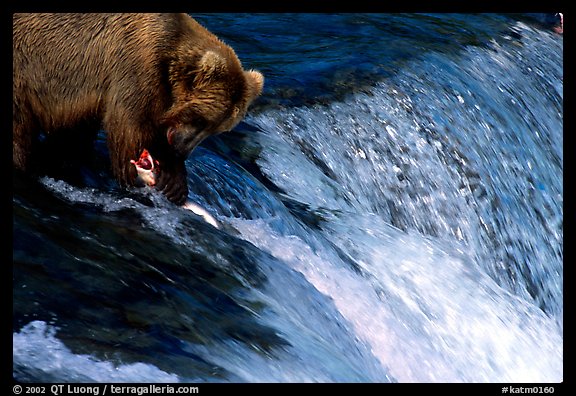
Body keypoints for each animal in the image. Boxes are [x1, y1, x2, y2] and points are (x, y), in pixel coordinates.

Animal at [12, 13, 264, 204]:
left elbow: (73, 138)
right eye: (201, 119)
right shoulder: (135, 68)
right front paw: (159, 177)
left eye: (217, 129)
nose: (182, 151)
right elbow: (131, 131)